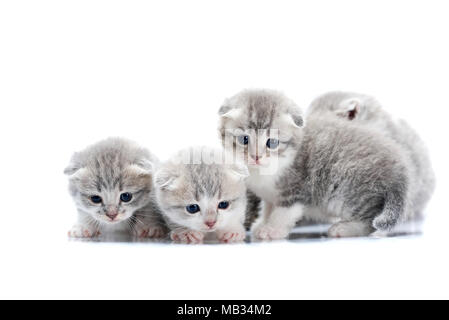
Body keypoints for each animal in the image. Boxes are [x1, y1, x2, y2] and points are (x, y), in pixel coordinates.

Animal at [219, 89, 412, 239]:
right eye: (244, 139)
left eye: (271, 142)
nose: (256, 157)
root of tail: (399, 168)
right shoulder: (270, 195)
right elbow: (268, 208)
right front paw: (262, 223)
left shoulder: (296, 189)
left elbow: (283, 213)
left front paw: (272, 230)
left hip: (348, 189)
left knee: (370, 220)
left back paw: (345, 228)